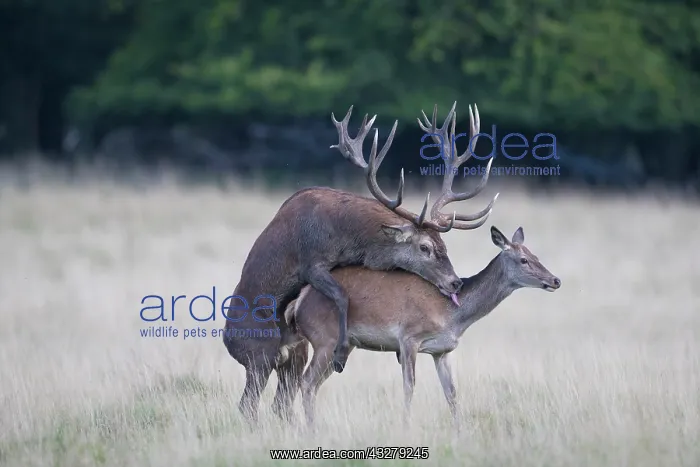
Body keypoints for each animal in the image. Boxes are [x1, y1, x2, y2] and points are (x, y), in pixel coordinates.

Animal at [223, 102, 498, 424]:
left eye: (445, 245)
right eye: (425, 247)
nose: (455, 282)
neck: (348, 236)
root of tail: (227, 340)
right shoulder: (312, 262)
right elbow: (342, 296)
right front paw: (342, 353)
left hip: (295, 353)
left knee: (281, 401)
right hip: (258, 353)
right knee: (249, 403)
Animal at [282, 225, 562, 428]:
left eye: (536, 255)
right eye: (523, 259)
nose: (555, 280)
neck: (453, 315)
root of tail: (299, 302)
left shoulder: (443, 350)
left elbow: (451, 392)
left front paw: (459, 431)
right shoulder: (409, 337)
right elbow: (409, 386)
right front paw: (406, 426)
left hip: (343, 347)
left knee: (311, 385)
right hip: (325, 339)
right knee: (305, 382)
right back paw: (312, 431)